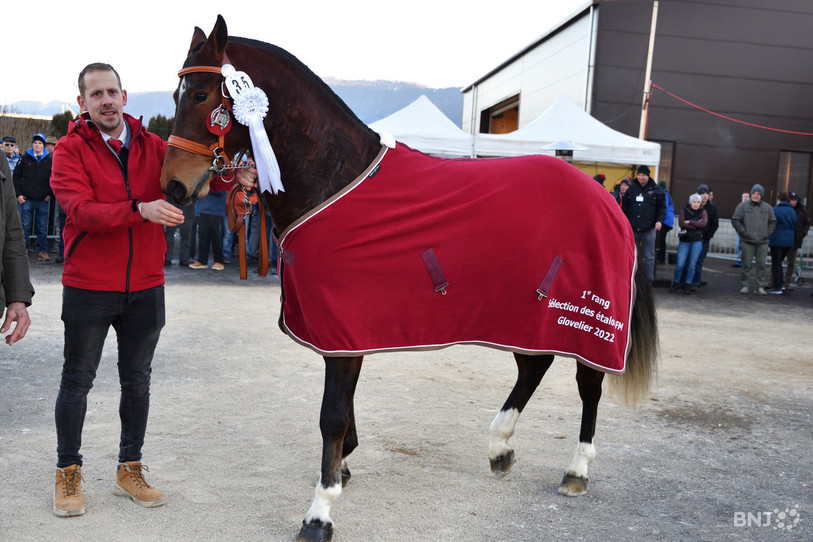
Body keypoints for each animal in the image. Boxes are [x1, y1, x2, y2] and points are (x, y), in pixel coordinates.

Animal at [160, 16, 658, 542]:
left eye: (200, 95)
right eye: (176, 94)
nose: (172, 185)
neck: (334, 177)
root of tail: (607, 199)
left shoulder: (343, 331)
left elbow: (331, 417)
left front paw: (320, 513)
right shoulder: (343, 333)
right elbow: (344, 411)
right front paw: (344, 467)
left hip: (586, 321)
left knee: (589, 385)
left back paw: (576, 469)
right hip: (528, 312)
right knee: (533, 367)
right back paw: (499, 447)